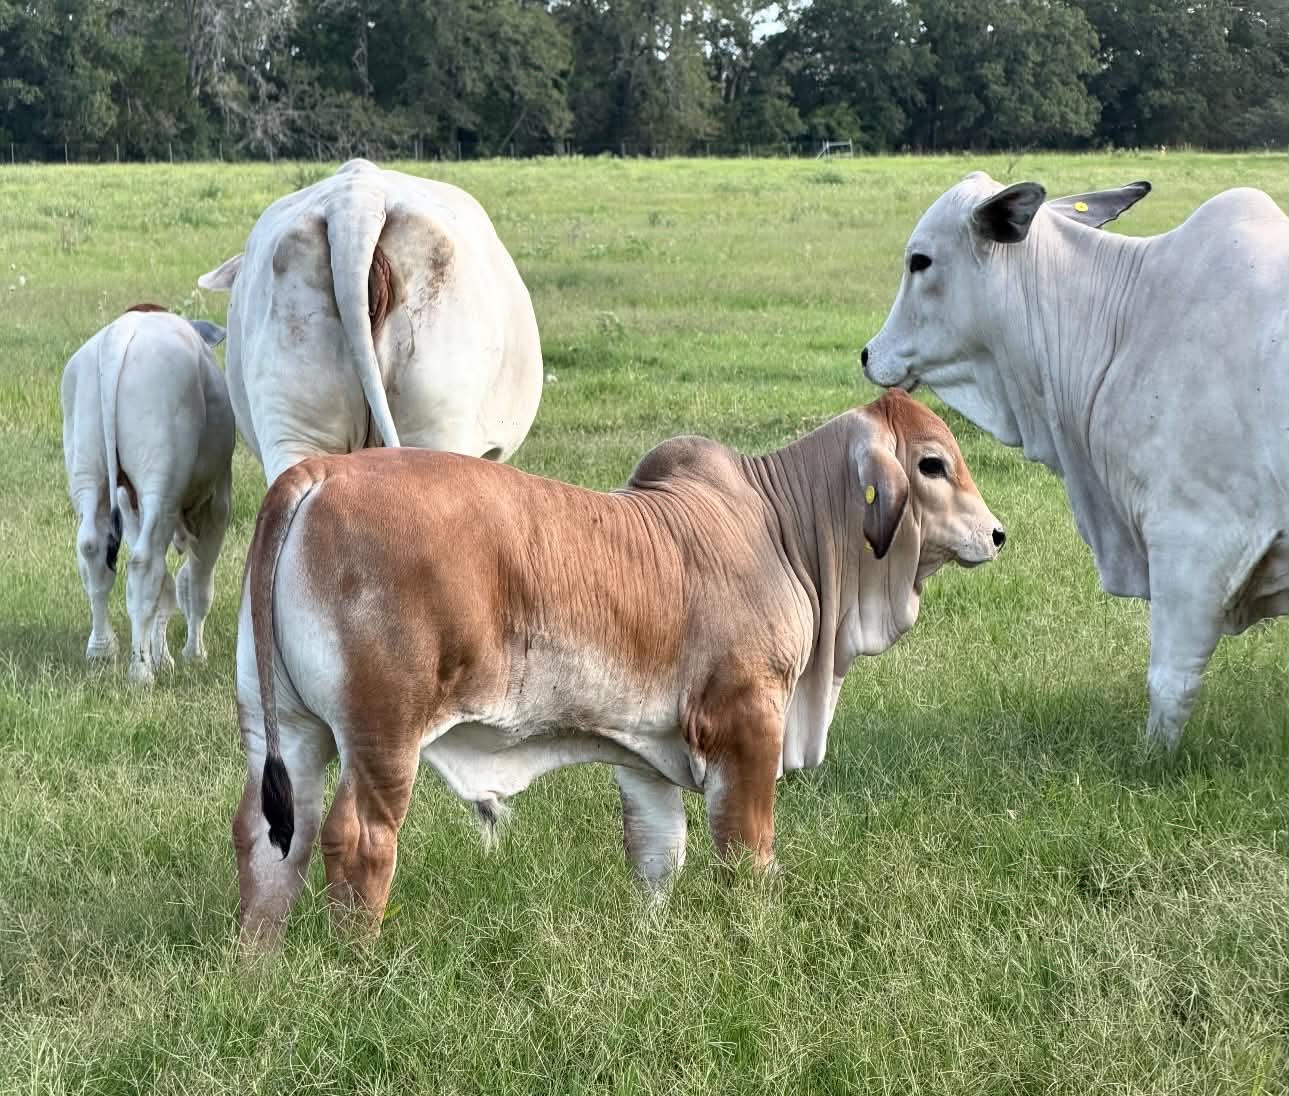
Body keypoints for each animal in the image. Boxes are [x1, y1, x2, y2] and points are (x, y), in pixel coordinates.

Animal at [60, 307, 235, 684]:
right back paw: (140, 671)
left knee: (93, 550)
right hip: (161, 482)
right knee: (144, 565)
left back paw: (102, 648)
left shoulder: (131, 507)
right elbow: (197, 585)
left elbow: (167, 589)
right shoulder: (217, 505)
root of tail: (121, 332)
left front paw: (164, 657)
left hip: (88, 473)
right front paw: (192, 655)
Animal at [230, 390, 1006, 948]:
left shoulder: (644, 753)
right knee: (358, 839)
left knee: (270, 836)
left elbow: (658, 855)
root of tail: (316, 472)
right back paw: (357, 967)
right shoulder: (747, 721)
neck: (783, 530)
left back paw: (257, 969)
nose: (998, 534)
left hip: (285, 728)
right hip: (383, 733)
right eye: (932, 463)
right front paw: (753, 938)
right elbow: (746, 855)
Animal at [861, 172, 1289, 751]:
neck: (1127, 322)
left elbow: (1170, 680)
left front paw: (1152, 758)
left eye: (921, 261)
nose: (868, 354)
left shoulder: (1196, 536)